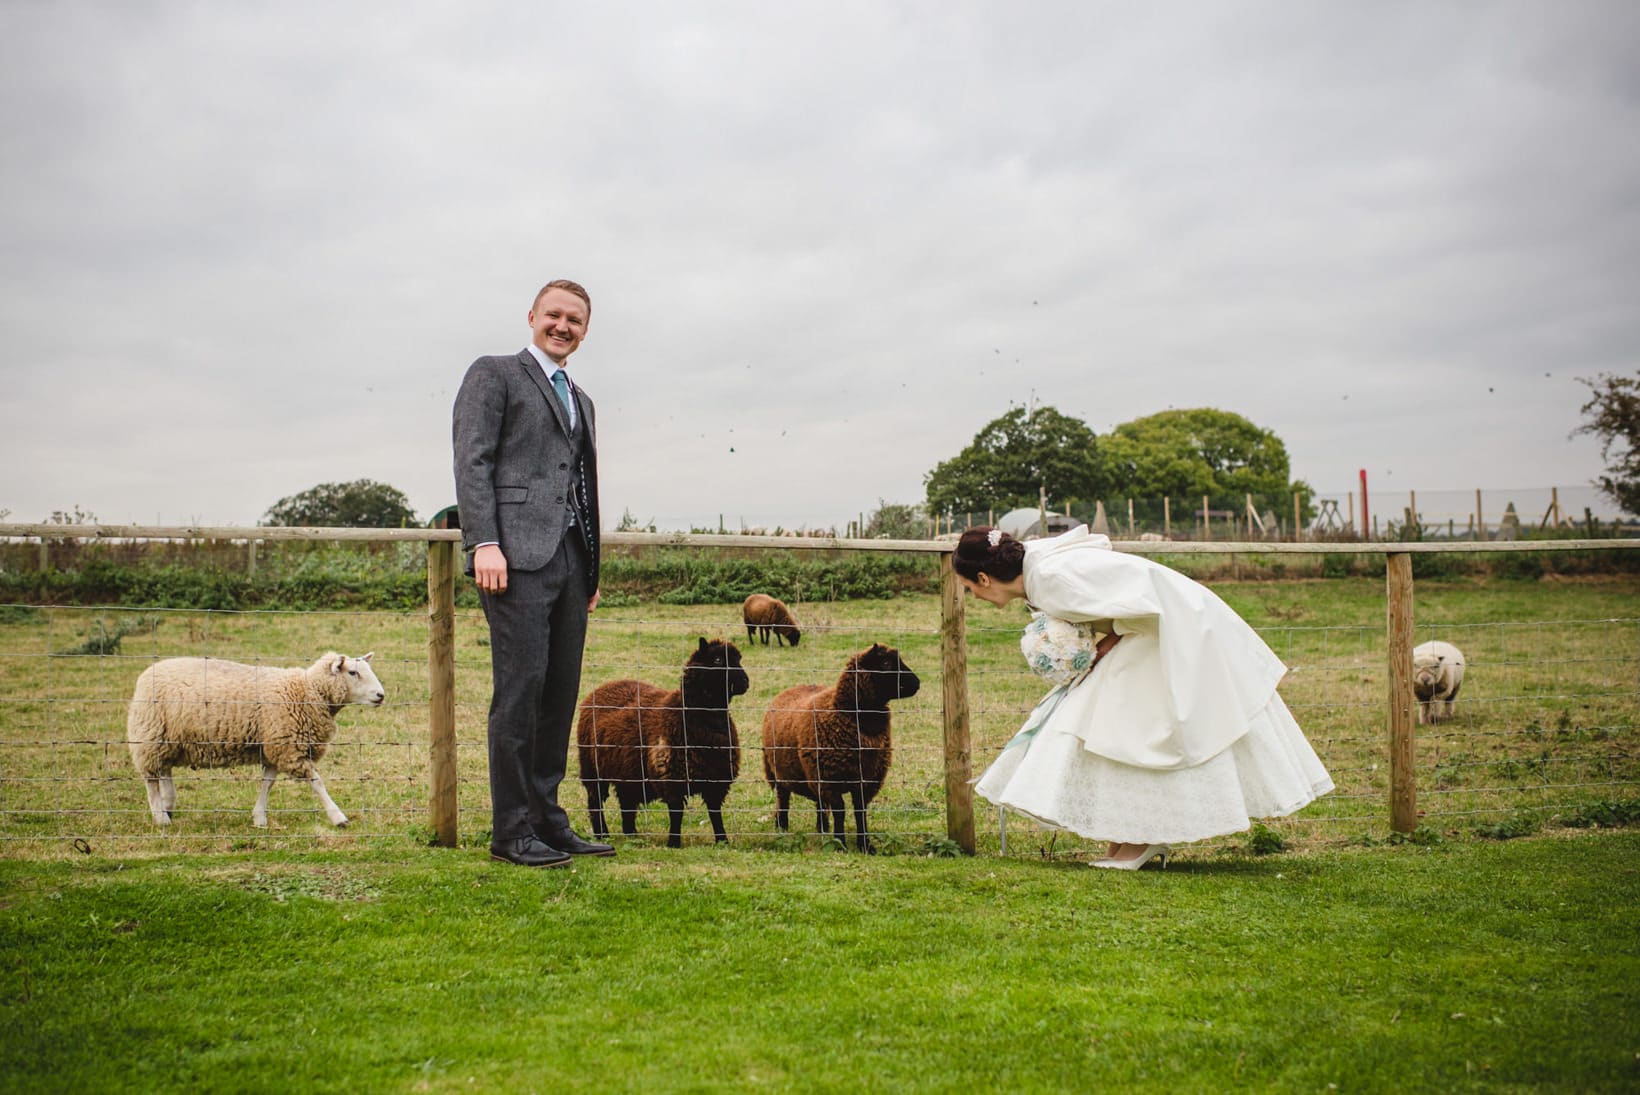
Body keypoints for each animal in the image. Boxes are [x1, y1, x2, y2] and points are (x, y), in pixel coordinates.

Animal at [126, 655, 385, 826]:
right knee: (151, 780)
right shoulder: (290, 749)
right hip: (149, 736)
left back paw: (168, 806)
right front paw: (338, 817)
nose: (381, 695)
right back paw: (160, 818)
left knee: (164, 773)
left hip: (169, 741)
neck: (307, 691)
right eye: (352, 672)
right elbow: (317, 782)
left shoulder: (276, 746)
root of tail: (145, 674)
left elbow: (267, 783)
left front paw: (259, 817)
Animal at [577, 636, 751, 852]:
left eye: (739, 659)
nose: (745, 682)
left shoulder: (716, 779)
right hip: (592, 768)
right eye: (718, 660)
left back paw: (632, 835)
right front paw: (674, 843)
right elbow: (676, 813)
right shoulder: (671, 776)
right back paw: (602, 835)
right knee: (595, 801)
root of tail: (603, 686)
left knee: (627, 802)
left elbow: (715, 813)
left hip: (627, 770)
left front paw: (722, 841)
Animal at [757, 642, 918, 852]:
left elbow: (860, 811)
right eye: (885, 663)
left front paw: (865, 845)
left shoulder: (866, 780)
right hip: (779, 771)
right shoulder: (830, 779)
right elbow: (840, 811)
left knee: (819, 802)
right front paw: (840, 843)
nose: (917, 683)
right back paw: (781, 827)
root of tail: (789, 689)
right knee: (783, 799)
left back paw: (822, 828)